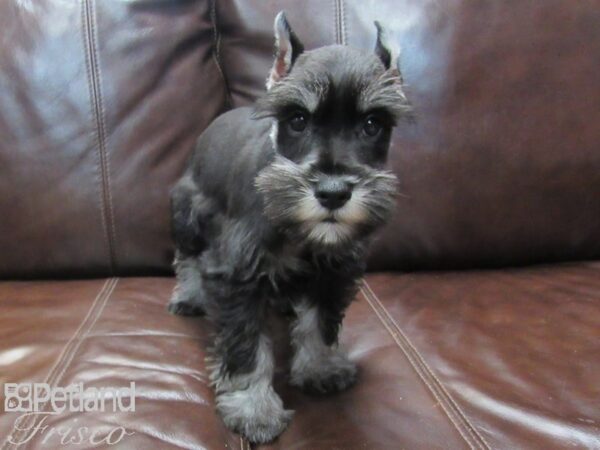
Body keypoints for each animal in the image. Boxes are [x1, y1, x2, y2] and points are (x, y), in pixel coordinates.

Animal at [169, 12, 412, 444]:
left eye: (373, 124)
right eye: (297, 120)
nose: (333, 192)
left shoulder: (334, 272)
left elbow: (320, 323)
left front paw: (320, 369)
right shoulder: (236, 275)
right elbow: (246, 349)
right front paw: (253, 408)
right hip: (188, 215)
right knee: (187, 258)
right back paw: (190, 294)